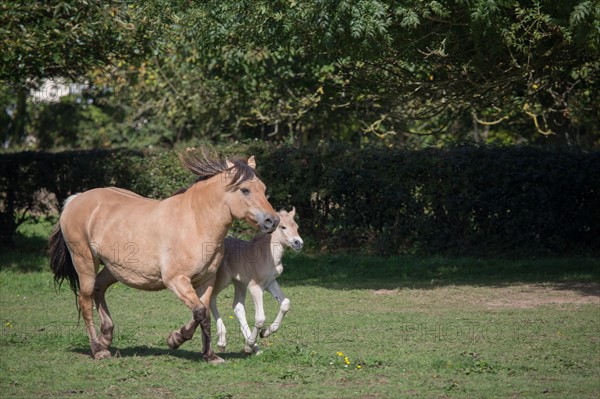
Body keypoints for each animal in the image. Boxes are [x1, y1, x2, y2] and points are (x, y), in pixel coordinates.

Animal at [48, 152, 278, 364]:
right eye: (245, 190)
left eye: (264, 188)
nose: (272, 221)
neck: (195, 222)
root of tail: (75, 200)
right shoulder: (176, 280)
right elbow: (200, 312)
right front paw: (177, 340)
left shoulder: (206, 281)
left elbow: (203, 315)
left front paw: (208, 355)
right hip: (85, 262)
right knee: (85, 300)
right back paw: (98, 349)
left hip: (115, 269)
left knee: (99, 289)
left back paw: (106, 338)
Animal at [212, 208, 304, 354]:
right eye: (283, 227)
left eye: (297, 227)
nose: (298, 243)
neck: (267, 255)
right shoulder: (255, 286)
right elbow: (260, 318)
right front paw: (249, 344)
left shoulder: (270, 282)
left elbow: (285, 303)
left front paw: (264, 333)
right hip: (223, 280)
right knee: (210, 299)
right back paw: (222, 342)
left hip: (240, 284)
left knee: (238, 307)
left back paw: (254, 348)